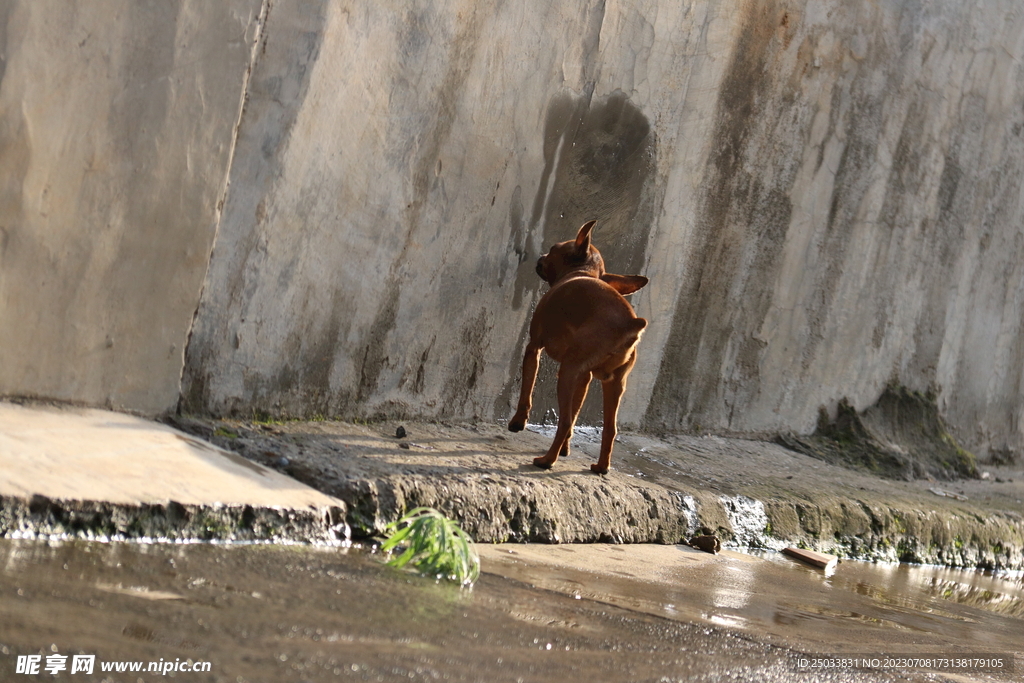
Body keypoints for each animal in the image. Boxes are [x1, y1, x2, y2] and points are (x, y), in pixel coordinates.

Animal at [509, 222, 647, 473]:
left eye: (553, 249)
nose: (541, 256)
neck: (583, 271)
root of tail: (629, 325)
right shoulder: (585, 377)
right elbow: (575, 414)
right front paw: (566, 449)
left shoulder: (534, 348)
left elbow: (527, 389)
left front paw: (518, 422)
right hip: (613, 383)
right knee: (608, 428)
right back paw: (601, 467)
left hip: (567, 372)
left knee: (563, 421)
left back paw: (546, 461)